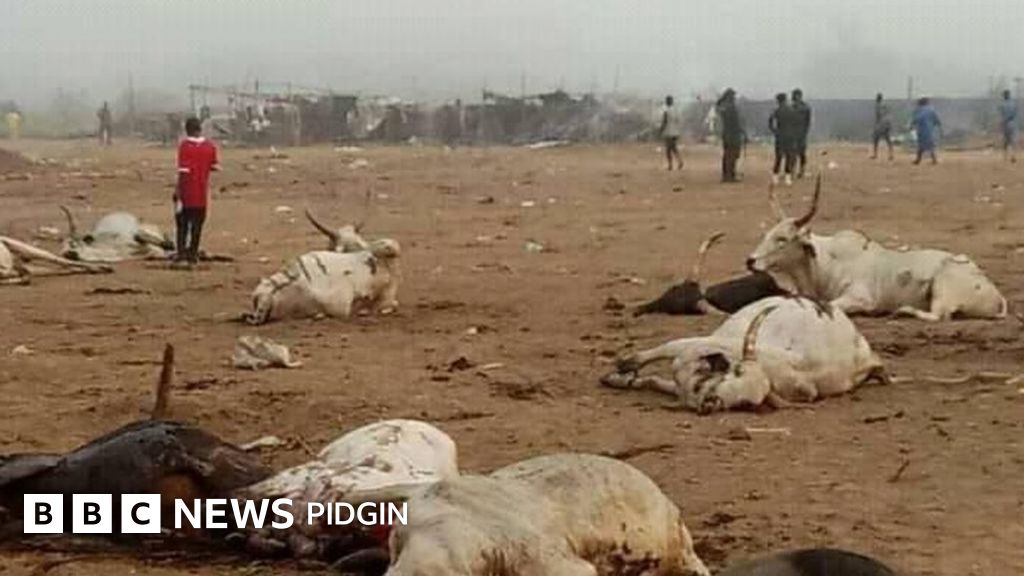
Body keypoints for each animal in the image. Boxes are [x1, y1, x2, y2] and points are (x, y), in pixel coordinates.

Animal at [602, 296, 888, 414]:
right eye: (737, 371)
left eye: (745, 403)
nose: (712, 403)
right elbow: (661, 355)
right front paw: (621, 371)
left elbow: (657, 372)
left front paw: (620, 376)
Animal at [746, 175, 1007, 321]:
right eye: (767, 234)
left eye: (782, 239)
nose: (750, 261)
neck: (825, 263)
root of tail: (995, 294)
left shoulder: (860, 299)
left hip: (943, 286)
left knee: (939, 316)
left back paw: (902, 311)